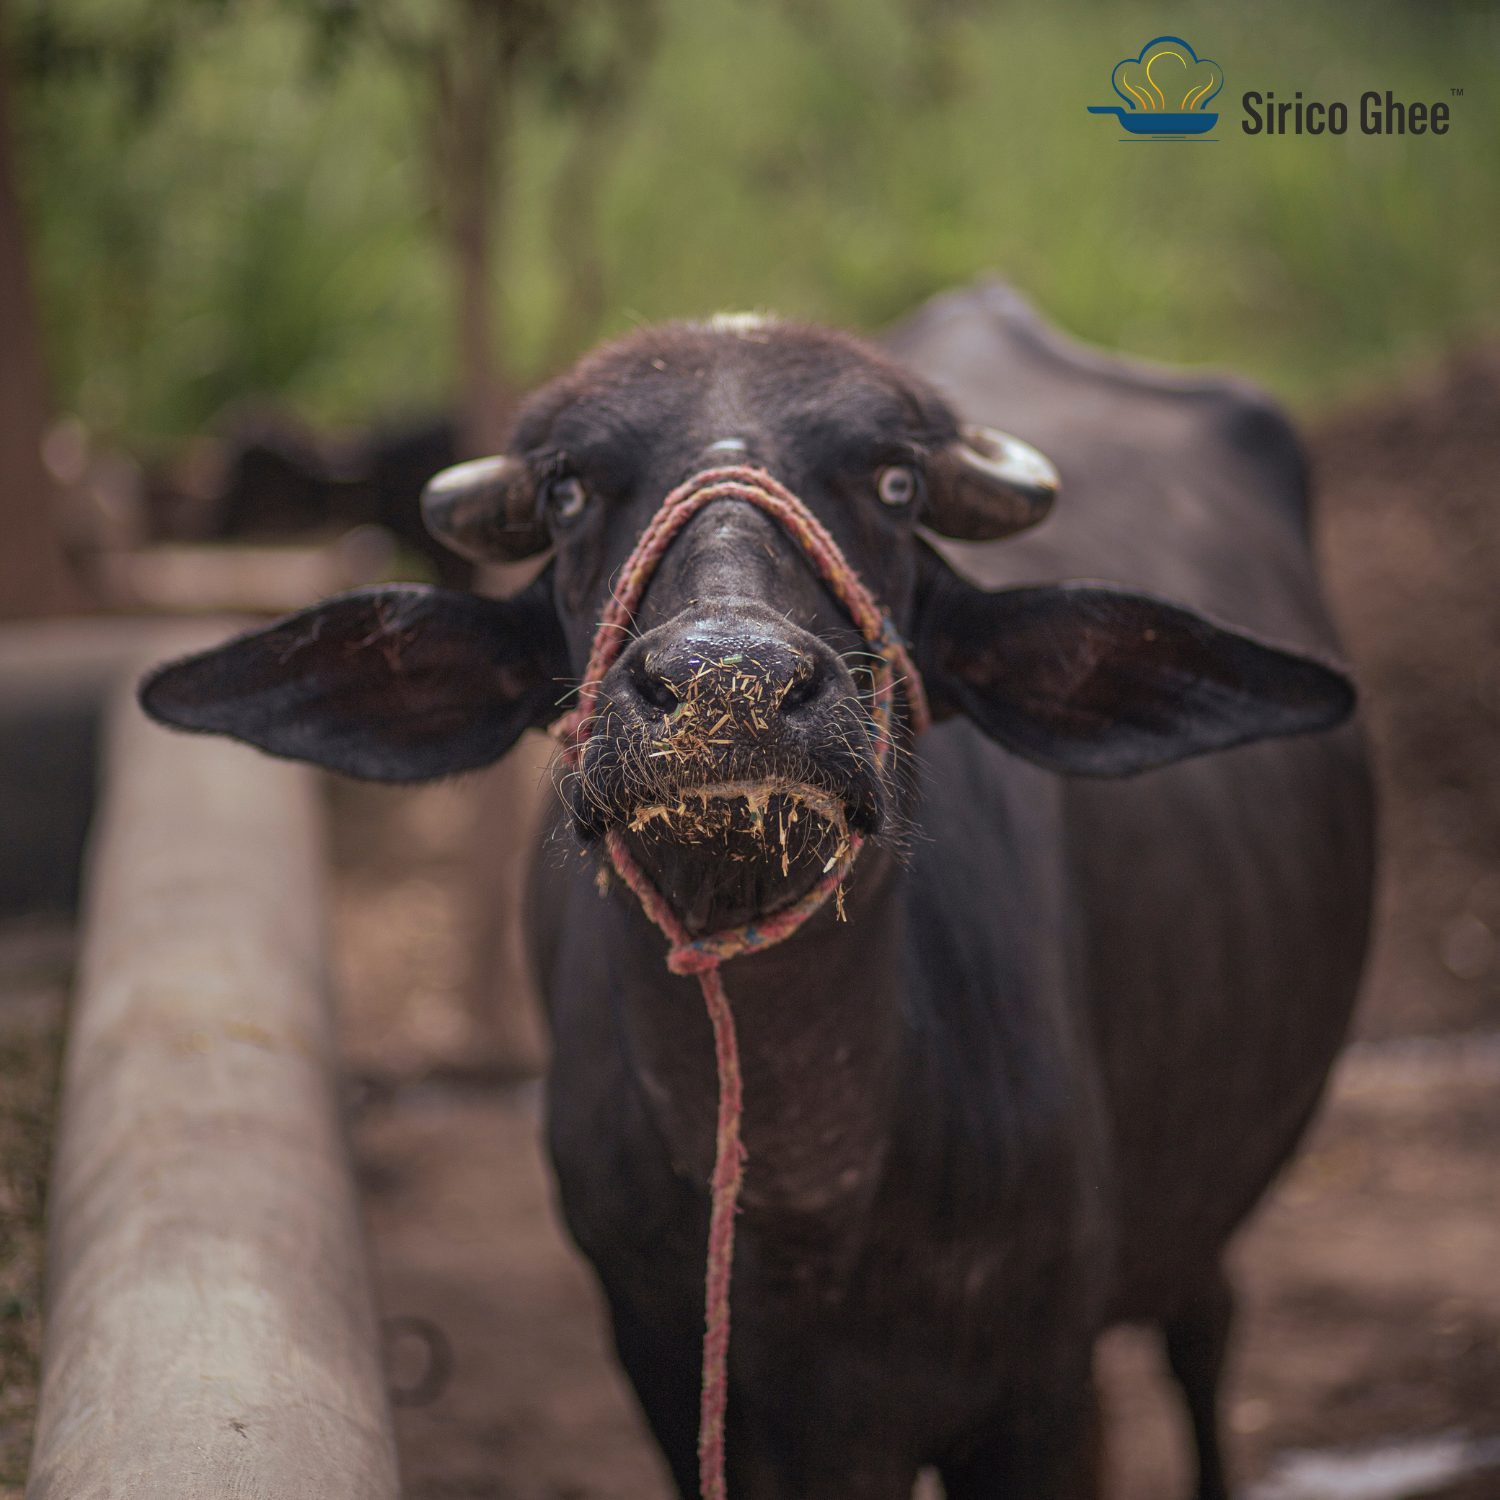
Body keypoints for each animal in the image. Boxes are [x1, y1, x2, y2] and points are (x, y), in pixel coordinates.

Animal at [141, 283, 1374, 1500]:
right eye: (568, 490)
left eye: (894, 482)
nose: (725, 685)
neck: (807, 1212)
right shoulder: (674, 1383)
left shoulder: (1045, 1396)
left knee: (1205, 1336)